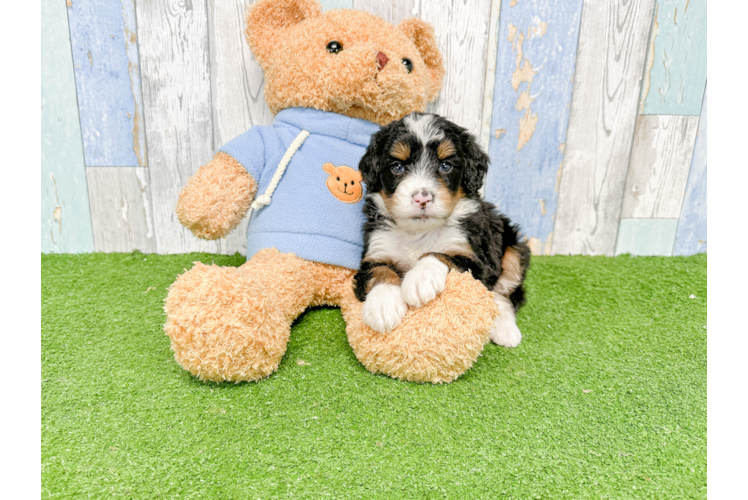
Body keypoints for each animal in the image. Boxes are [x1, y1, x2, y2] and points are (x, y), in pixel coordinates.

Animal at [352, 113, 532, 348]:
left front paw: (420, 279)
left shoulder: (478, 260)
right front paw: (383, 304)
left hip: (513, 247)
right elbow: (379, 271)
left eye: (446, 165)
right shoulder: (376, 250)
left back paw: (505, 329)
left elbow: (440, 255)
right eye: (397, 167)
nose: (422, 198)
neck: (418, 232)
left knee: (505, 293)